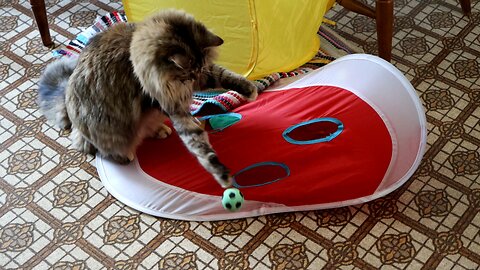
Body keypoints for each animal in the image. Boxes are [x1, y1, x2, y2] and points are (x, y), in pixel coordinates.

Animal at [37, 10, 258, 188]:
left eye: (195, 72)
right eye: (185, 75)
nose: (192, 80)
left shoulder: (202, 76)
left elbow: (223, 75)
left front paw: (249, 89)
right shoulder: (168, 103)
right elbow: (199, 144)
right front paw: (221, 174)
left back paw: (161, 129)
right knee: (98, 149)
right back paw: (127, 152)